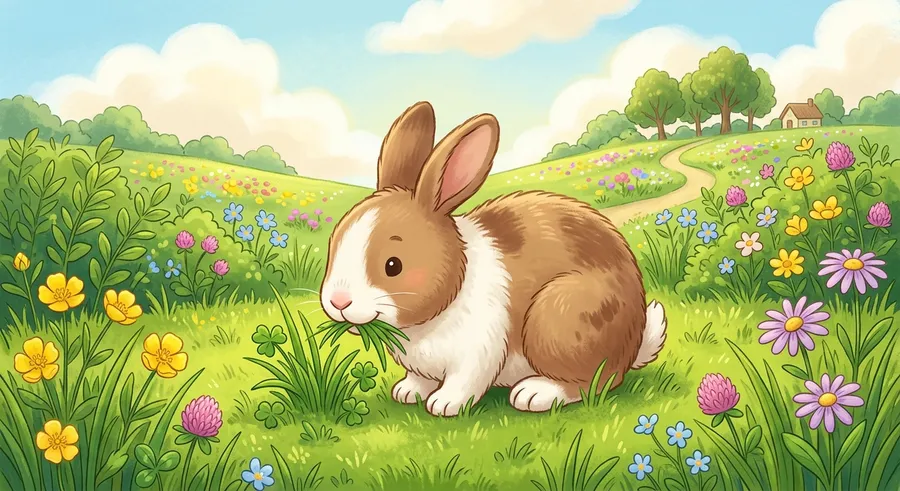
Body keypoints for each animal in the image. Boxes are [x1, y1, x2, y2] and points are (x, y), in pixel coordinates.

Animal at [320, 101, 667, 417]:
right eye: (333, 244)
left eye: (393, 265)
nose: (338, 302)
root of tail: (633, 342)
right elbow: (419, 378)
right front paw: (407, 392)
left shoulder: (478, 350)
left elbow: (465, 382)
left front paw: (443, 405)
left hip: (559, 317)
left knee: (591, 382)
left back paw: (533, 394)